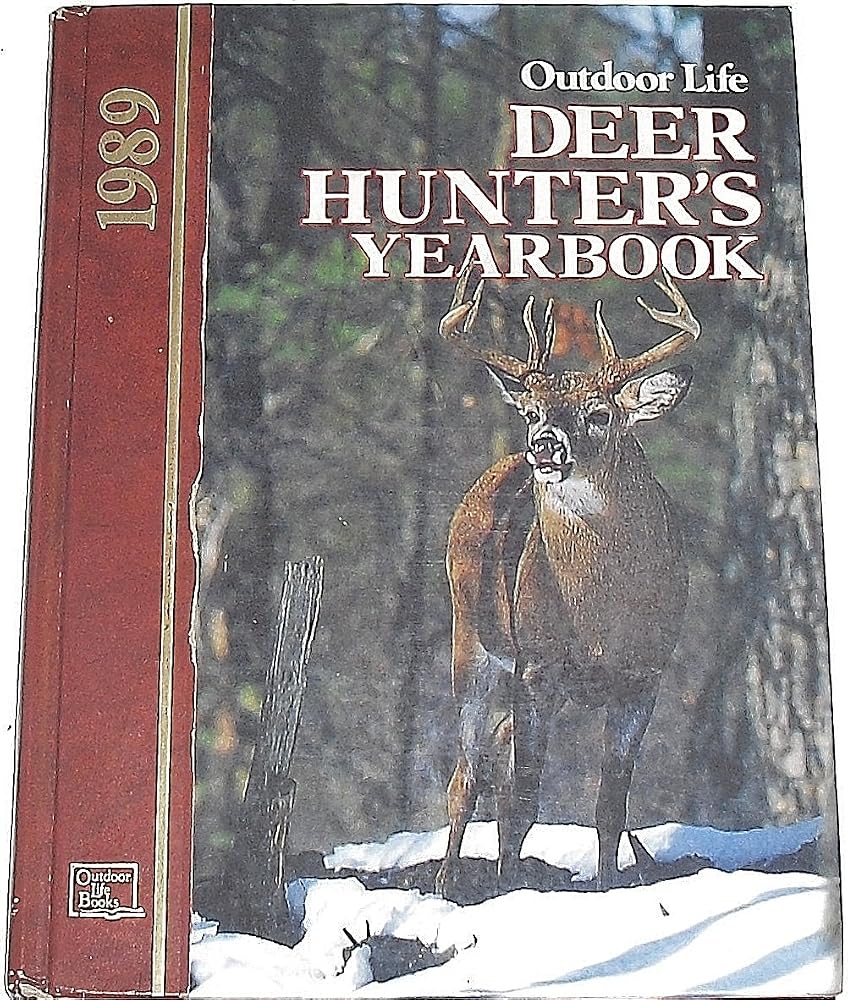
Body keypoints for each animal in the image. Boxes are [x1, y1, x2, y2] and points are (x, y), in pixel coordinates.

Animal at [434, 264, 700, 896]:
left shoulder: (644, 676)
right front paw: (510, 889)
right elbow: (525, 798)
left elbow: (609, 805)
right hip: (471, 644)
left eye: (600, 413)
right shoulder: (538, 665)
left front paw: (604, 888)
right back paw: (447, 885)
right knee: (467, 778)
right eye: (532, 411)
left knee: (490, 764)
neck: (601, 619)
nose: (545, 445)